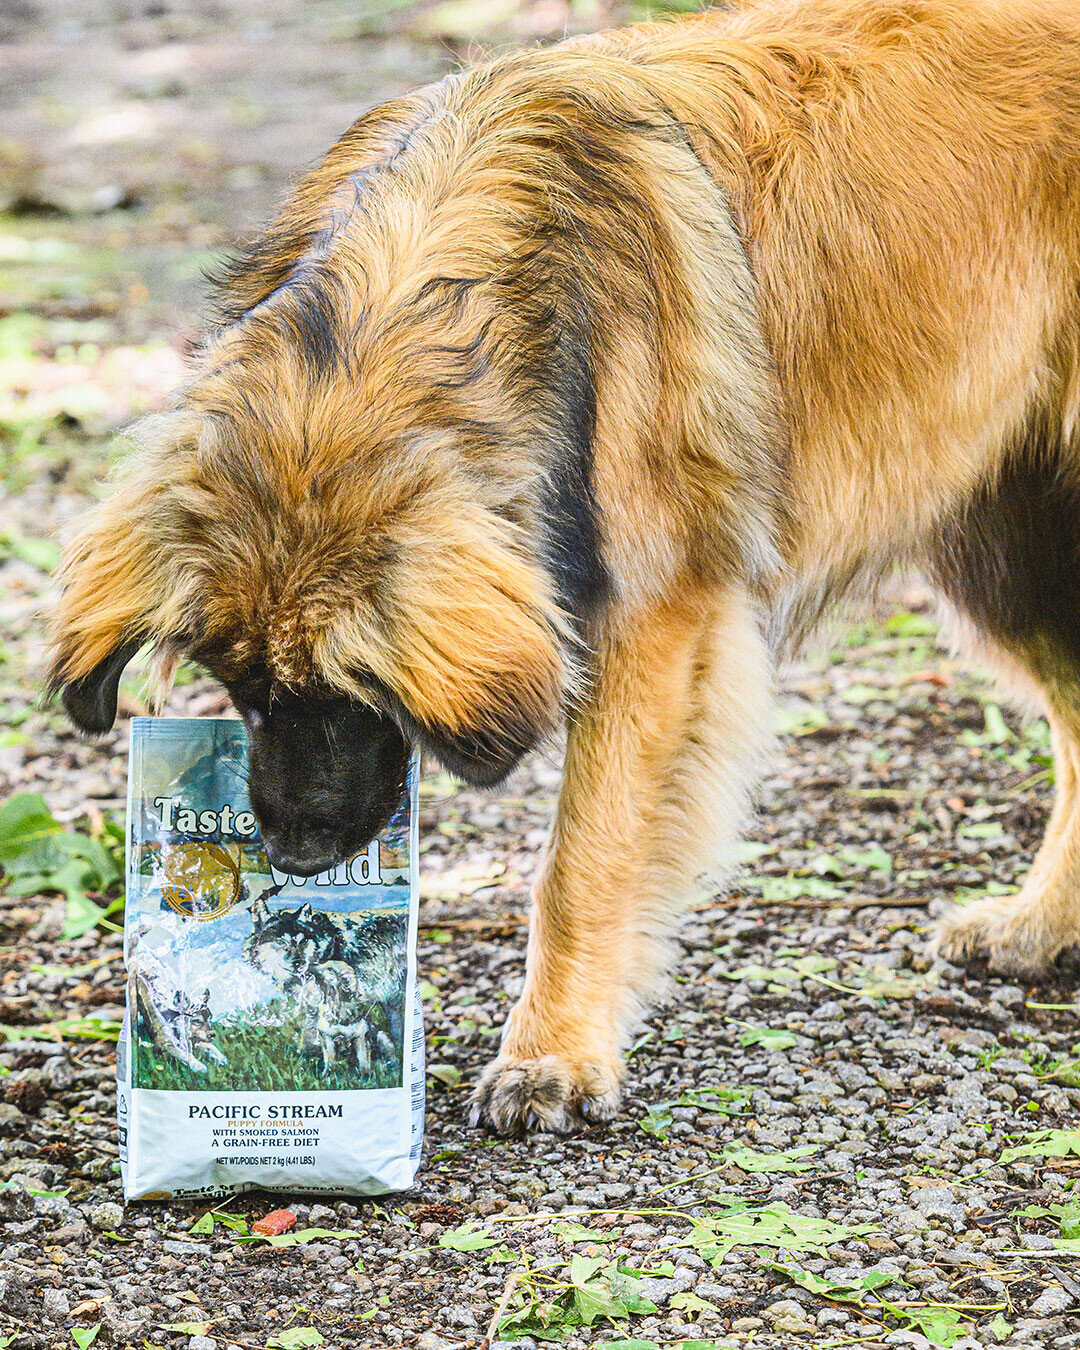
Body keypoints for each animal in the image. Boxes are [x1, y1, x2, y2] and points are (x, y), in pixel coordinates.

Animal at [46, 0, 1080, 1134]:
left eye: (347, 693)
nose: (295, 861)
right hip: (1005, 547)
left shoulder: (655, 623)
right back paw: (1040, 925)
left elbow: (580, 862)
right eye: (240, 688)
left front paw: (552, 1055)